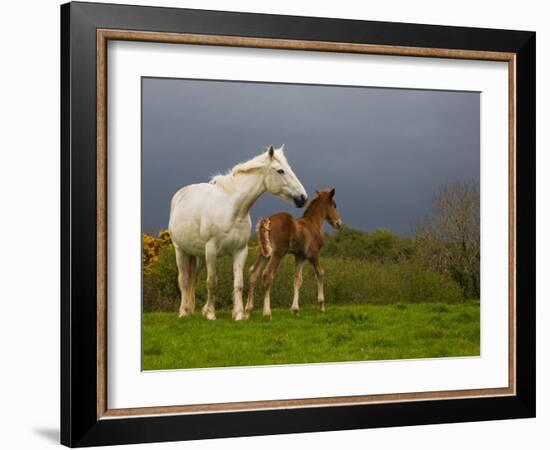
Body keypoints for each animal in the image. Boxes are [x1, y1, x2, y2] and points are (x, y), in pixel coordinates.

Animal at [169, 145, 306, 320]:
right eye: (280, 171)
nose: (302, 198)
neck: (232, 210)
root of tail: (180, 194)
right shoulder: (211, 250)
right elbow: (211, 281)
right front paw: (211, 314)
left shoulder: (240, 250)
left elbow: (239, 283)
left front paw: (239, 314)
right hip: (180, 250)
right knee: (184, 280)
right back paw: (183, 312)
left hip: (198, 255)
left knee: (192, 279)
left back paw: (191, 309)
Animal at [245, 188, 340, 318]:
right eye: (334, 205)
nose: (338, 223)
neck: (313, 223)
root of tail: (267, 221)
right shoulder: (314, 255)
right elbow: (320, 273)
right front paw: (321, 305)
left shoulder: (299, 256)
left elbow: (297, 279)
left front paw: (295, 309)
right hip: (278, 253)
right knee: (267, 274)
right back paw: (267, 312)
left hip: (264, 253)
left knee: (253, 272)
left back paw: (248, 310)